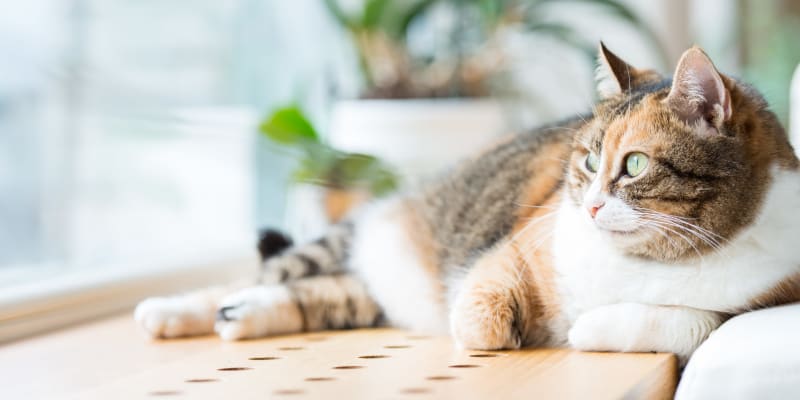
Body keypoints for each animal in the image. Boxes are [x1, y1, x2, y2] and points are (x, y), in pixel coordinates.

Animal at [134, 43, 800, 362]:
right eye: (588, 161)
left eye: (633, 165)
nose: (588, 206)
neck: (645, 261)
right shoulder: (515, 247)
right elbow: (479, 314)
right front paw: (509, 328)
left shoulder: (767, 296)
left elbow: (692, 321)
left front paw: (585, 327)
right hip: (353, 235)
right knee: (268, 273)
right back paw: (171, 311)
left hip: (362, 291)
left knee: (318, 294)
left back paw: (242, 316)